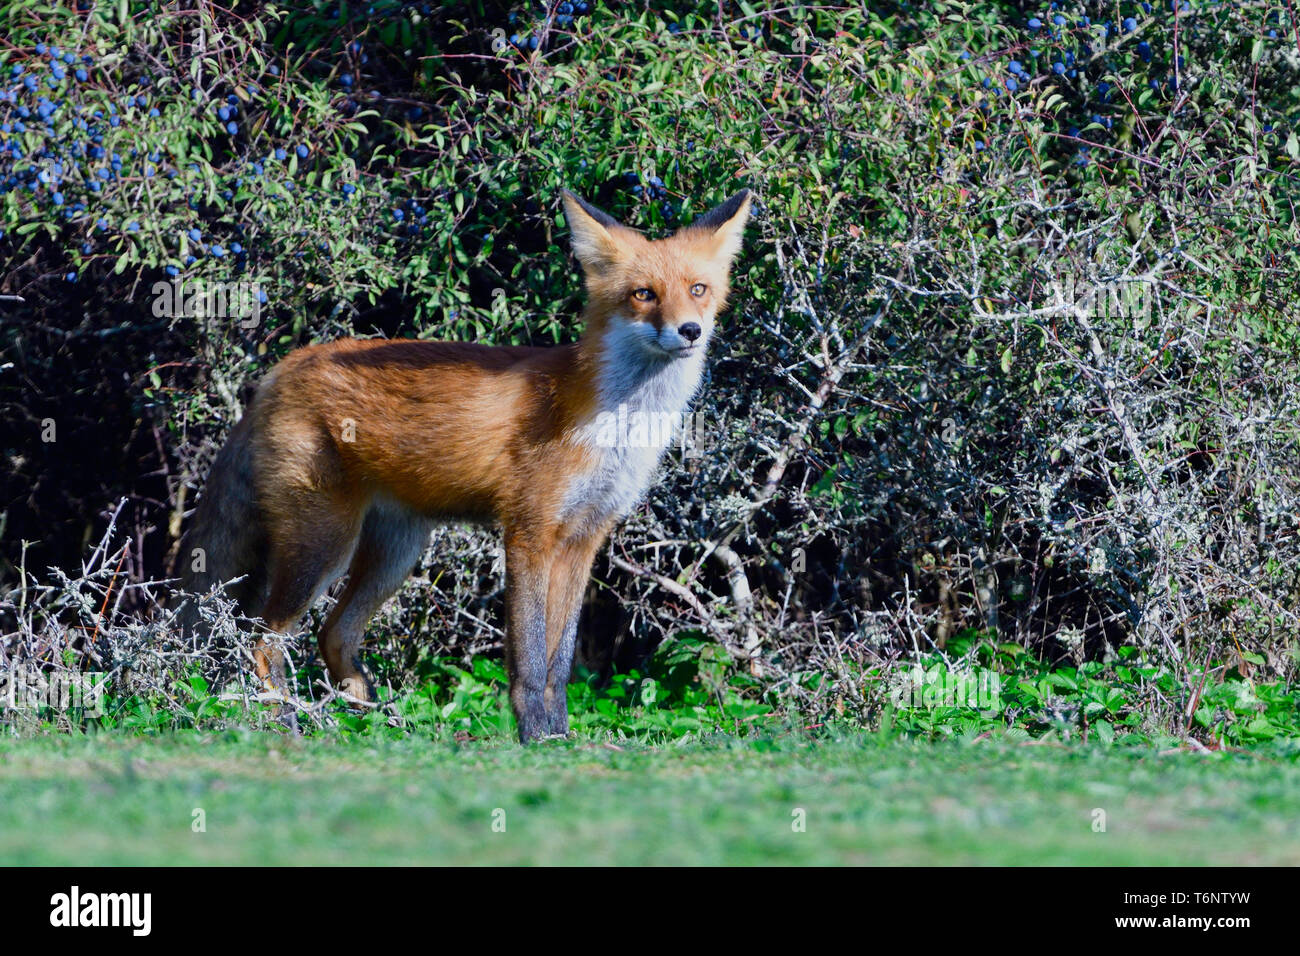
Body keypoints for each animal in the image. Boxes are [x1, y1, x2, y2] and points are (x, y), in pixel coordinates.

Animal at [179, 187, 752, 742]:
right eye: (644, 294)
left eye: (698, 289)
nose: (689, 330)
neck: (616, 423)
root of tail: (281, 369)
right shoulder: (529, 533)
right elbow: (529, 660)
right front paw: (536, 737)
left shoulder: (583, 538)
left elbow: (559, 662)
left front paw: (562, 735)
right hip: (324, 545)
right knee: (262, 639)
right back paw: (289, 725)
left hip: (396, 552)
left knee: (333, 635)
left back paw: (377, 725)